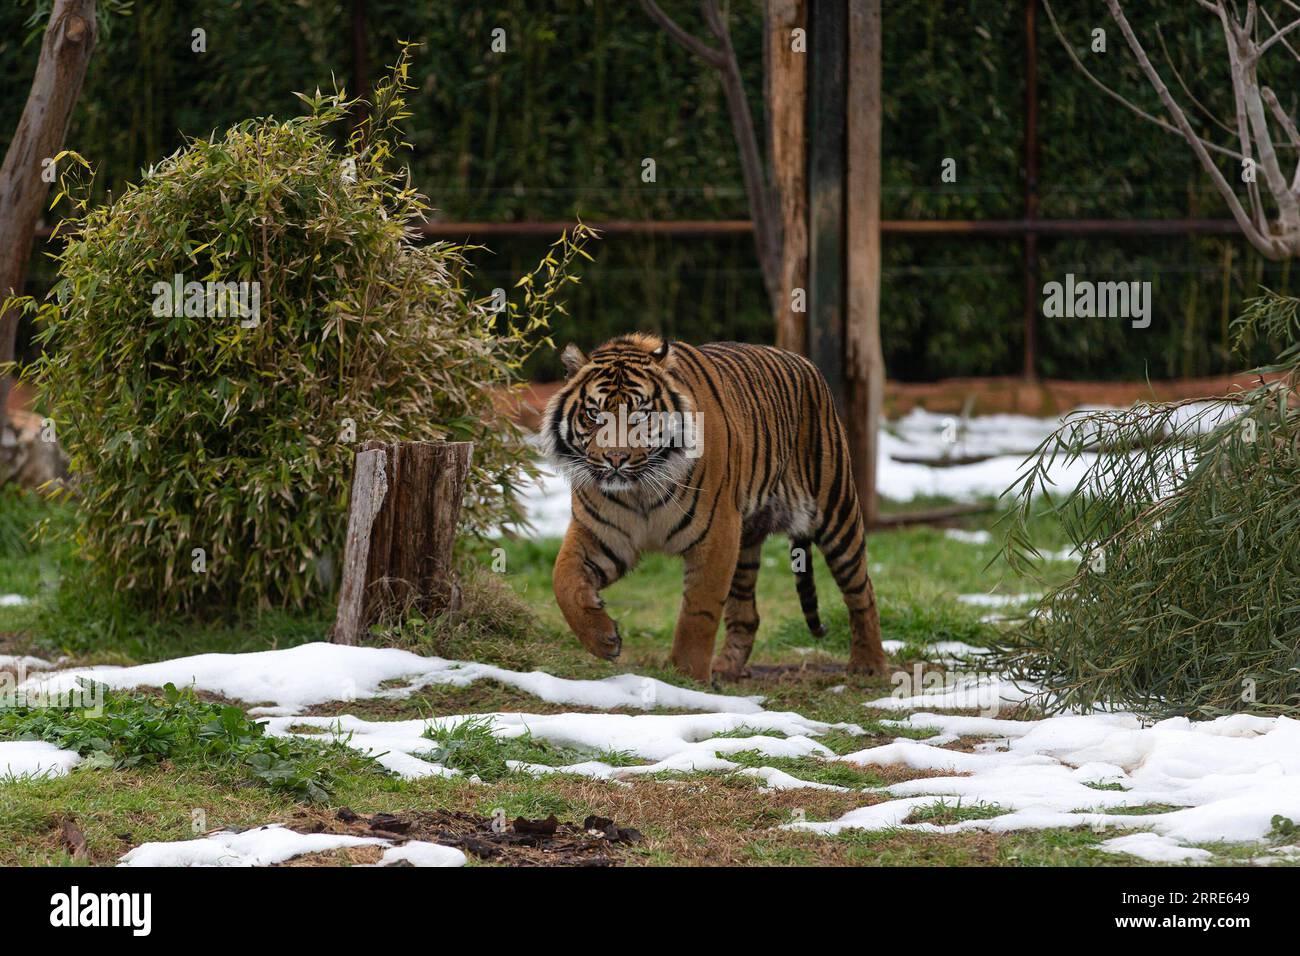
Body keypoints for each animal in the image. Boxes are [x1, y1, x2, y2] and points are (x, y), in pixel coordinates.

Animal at [543, 332, 889, 686]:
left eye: (640, 416)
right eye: (594, 415)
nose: (615, 458)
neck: (639, 492)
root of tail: (805, 362)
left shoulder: (716, 535)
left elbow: (699, 613)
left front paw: (686, 679)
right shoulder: (602, 534)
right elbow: (563, 581)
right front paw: (602, 638)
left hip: (836, 512)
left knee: (862, 590)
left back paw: (869, 664)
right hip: (746, 541)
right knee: (747, 614)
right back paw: (727, 668)